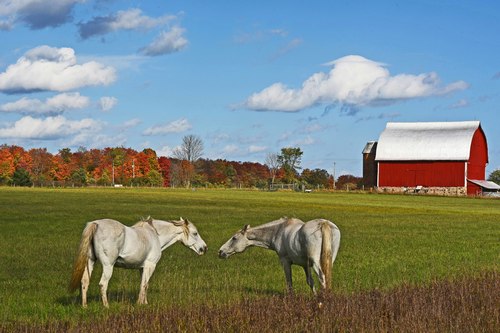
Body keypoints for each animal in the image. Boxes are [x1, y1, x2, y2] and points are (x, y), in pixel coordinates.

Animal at [69, 215, 206, 306]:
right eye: (195, 233)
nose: (204, 248)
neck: (155, 234)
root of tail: (96, 224)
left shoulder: (143, 268)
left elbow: (144, 284)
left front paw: (144, 302)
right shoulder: (151, 265)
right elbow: (144, 284)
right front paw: (140, 303)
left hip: (90, 262)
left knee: (84, 282)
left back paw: (85, 306)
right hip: (108, 266)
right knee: (103, 284)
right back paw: (106, 306)